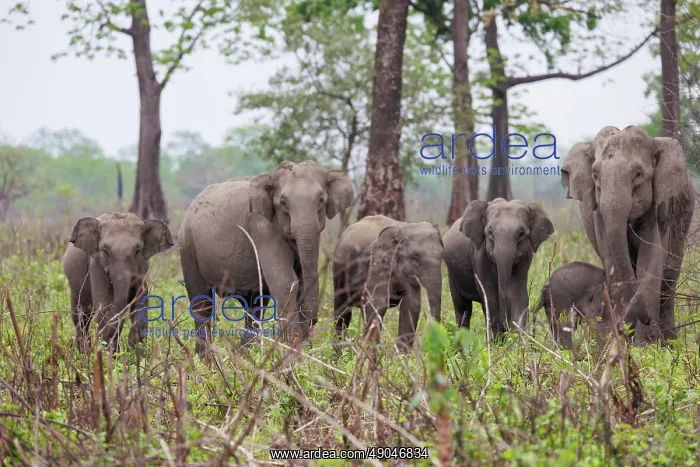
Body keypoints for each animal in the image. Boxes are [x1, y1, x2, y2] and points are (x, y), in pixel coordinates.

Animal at [62, 212, 174, 353]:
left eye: (137, 251)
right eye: (105, 251)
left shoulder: (142, 266)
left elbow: (140, 301)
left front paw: (134, 345)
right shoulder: (96, 264)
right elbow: (104, 304)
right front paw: (111, 350)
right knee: (81, 315)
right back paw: (84, 353)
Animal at [178, 160, 354, 356]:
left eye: (321, 200)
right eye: (283, 203)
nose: (314, 320)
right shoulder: (264, 230)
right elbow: (285, 283)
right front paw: (295, 356)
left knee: (255, 306)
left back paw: (244, 355)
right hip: (187, 246)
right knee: (201, 302)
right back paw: (207, 360)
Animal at [332, 215, 443, 350]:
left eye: (442, 255)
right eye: (415, 257)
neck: (402, 228)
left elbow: (412, 304)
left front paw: (402, 354)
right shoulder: (377, 261)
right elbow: (379, 302)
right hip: (338, 270)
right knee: (342, 308)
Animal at [443, 198, 554, 337]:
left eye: (521, 233)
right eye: (490, 232)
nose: (504, 326)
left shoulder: (525, 256)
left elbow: (520, 295)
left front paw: (515, 338)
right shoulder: (479, 255)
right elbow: (489, 297)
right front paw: (495, 339)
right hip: (451, 272)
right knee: (463, 308)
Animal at [561, 125, 695, 342]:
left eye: (638, 175)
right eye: (595, 175)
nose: (644, 319)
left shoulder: (660, 207)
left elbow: (650, 263)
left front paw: (644, 344)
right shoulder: (598, 212)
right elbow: (613, 264)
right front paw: (618, 339)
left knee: (669, 279)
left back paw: (669, 341)